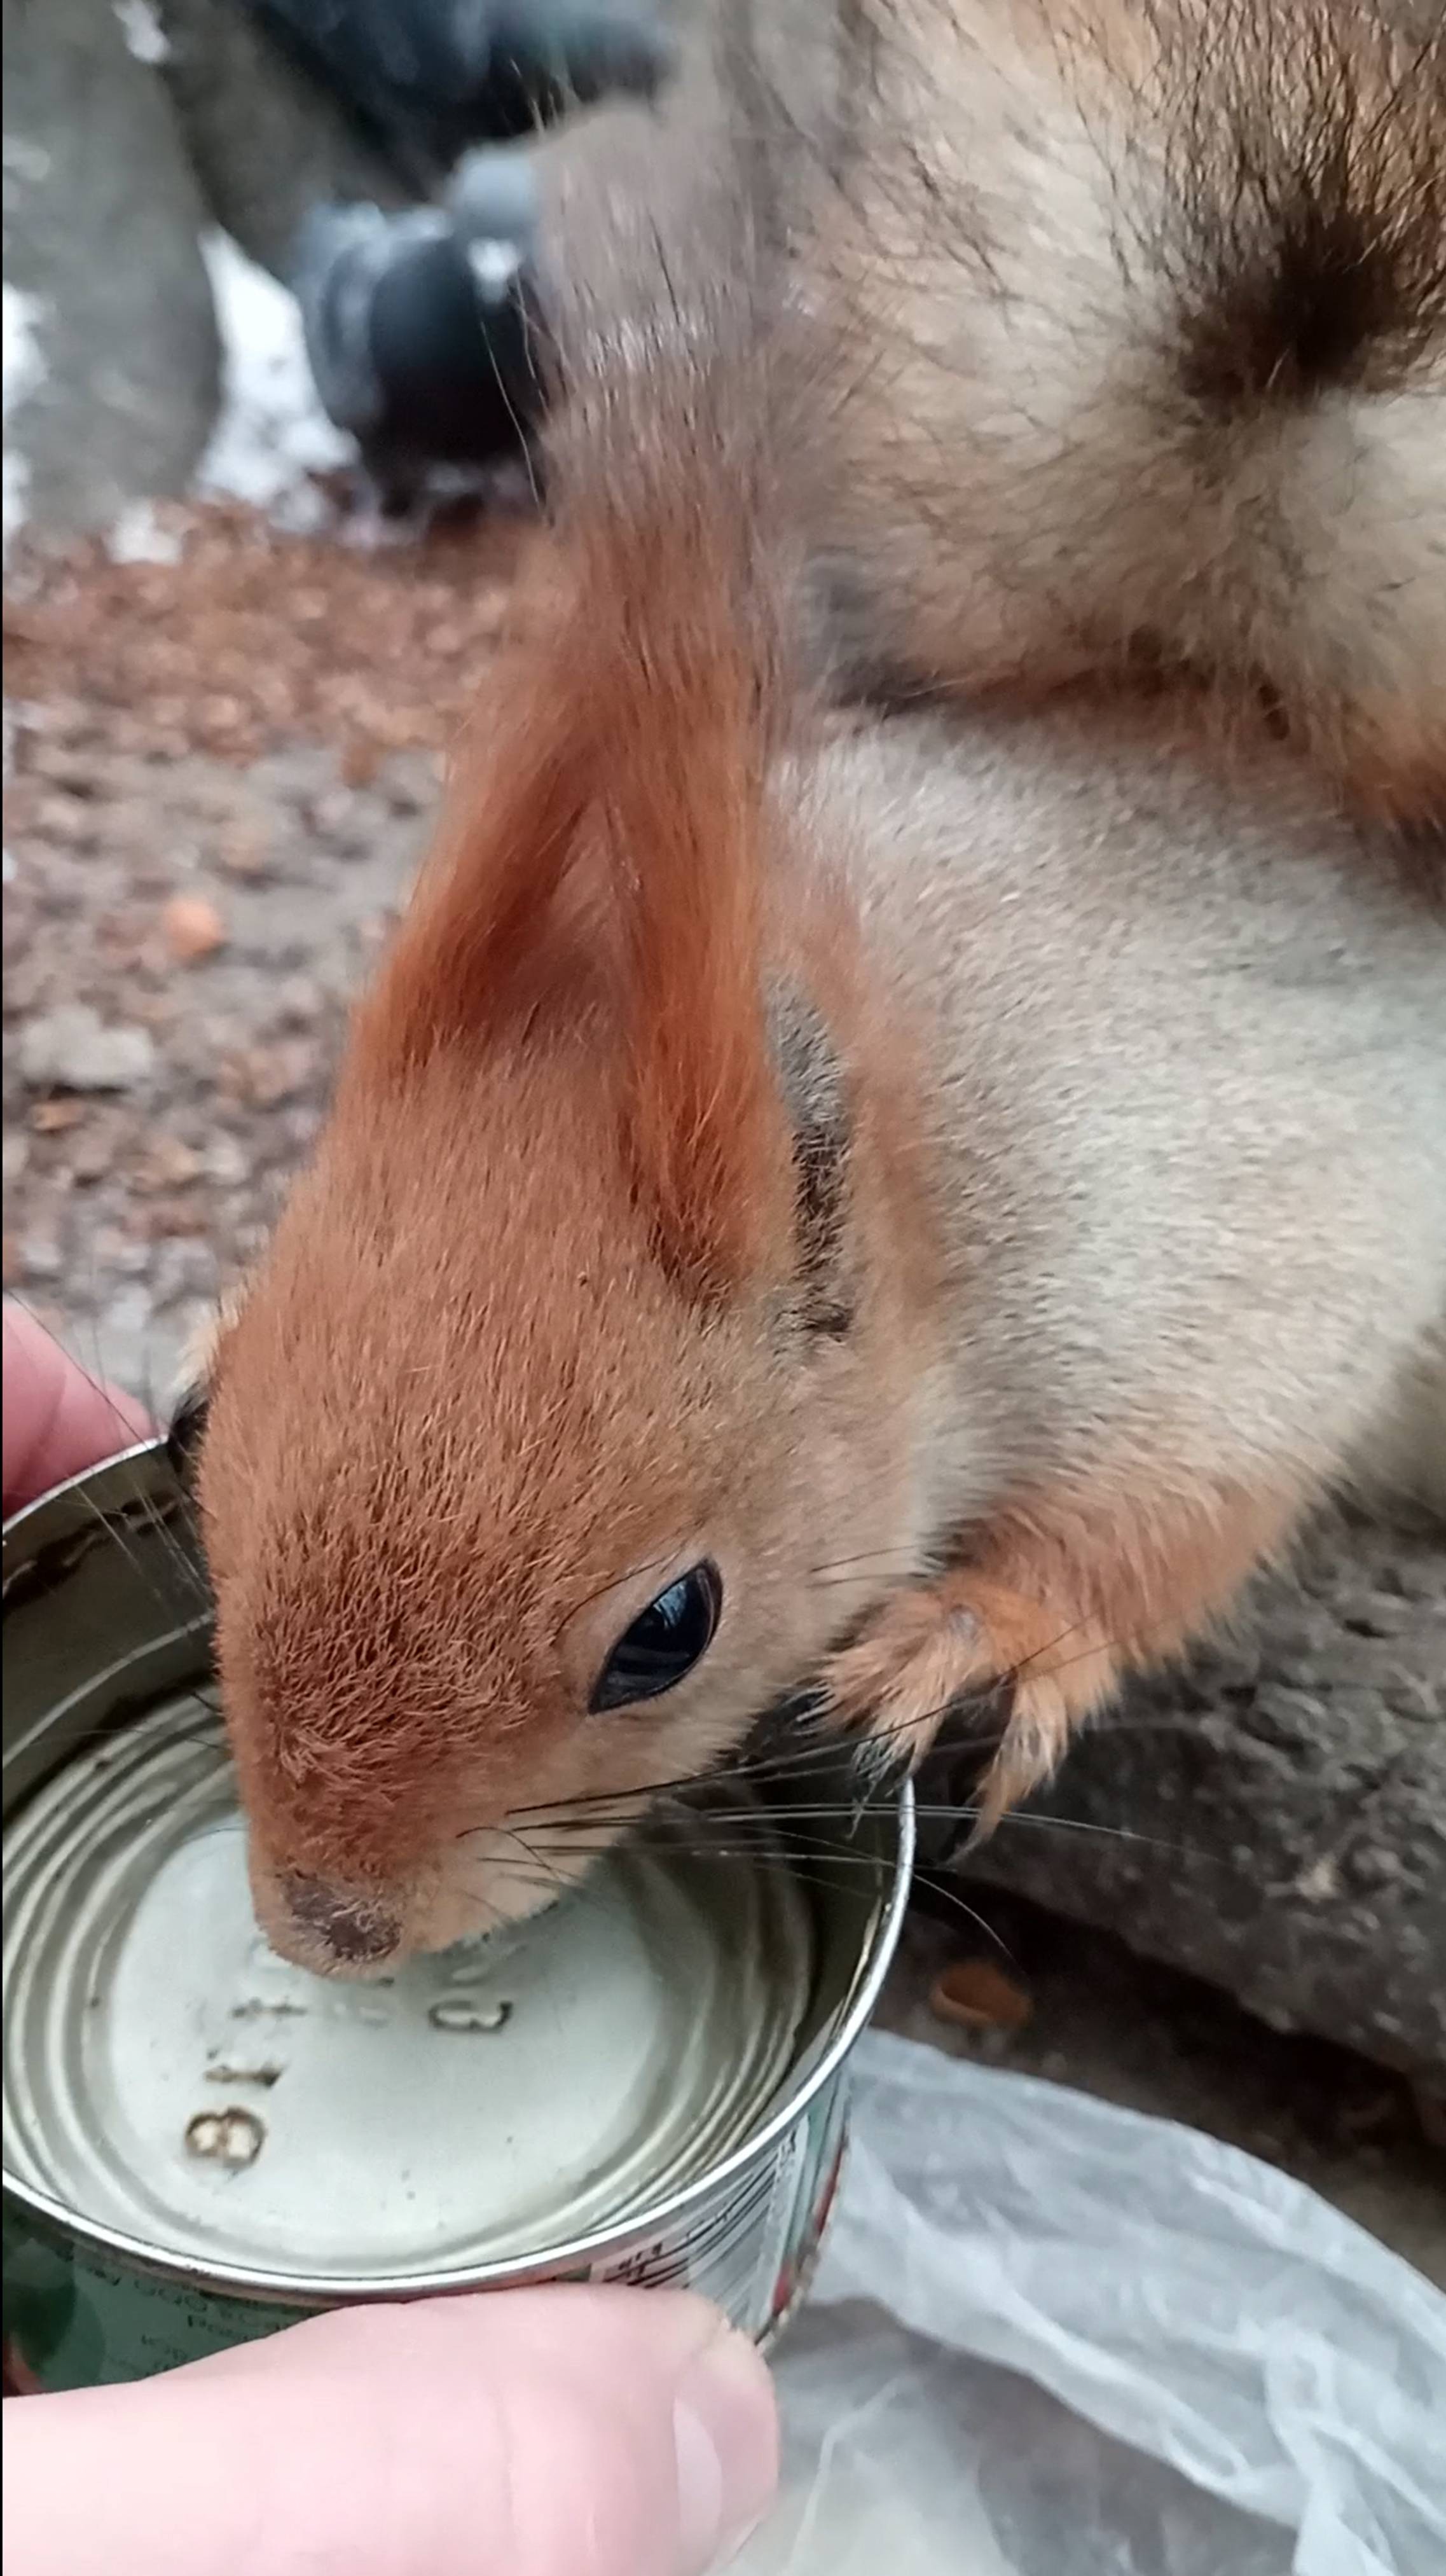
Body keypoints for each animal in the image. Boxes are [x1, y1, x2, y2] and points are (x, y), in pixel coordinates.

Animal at [195, 0, 1443, 1968]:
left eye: (668, 1628)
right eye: (200, 1436)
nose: (326, 1923)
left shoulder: (1244, 1245)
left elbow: (1179, 1506)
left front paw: (982, 1638)